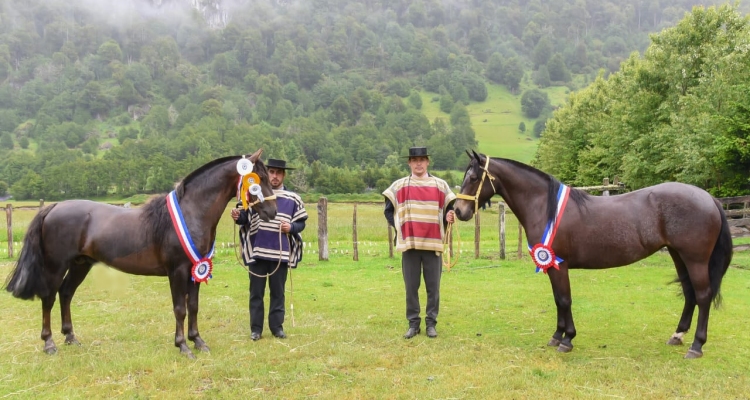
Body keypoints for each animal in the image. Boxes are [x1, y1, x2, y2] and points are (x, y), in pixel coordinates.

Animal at [2, 148, 280, 358]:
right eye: (257, 179)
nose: (272, 212)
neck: (191, 212)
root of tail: (54, 207)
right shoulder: (178, 271)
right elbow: (180, 308)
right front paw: (183, 346)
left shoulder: (196, 269)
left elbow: (194, 307)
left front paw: (198, 341)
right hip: (56, 265)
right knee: (49, 297)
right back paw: (49, 344)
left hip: (81, 264)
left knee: (66, 293)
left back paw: (71, 337)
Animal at [456, 151, 732, 360]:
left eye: (473, 177)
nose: (459, 211)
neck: (546, 208)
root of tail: (708, 197)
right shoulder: (553, 265)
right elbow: (558, 300)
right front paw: (557, 336)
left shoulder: (560, 264)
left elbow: (564, 299)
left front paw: (567, 339)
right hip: (678, 255)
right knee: (689, 293)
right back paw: (677, 336)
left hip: (695, 259)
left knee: (703, 296)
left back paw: (697, 346)